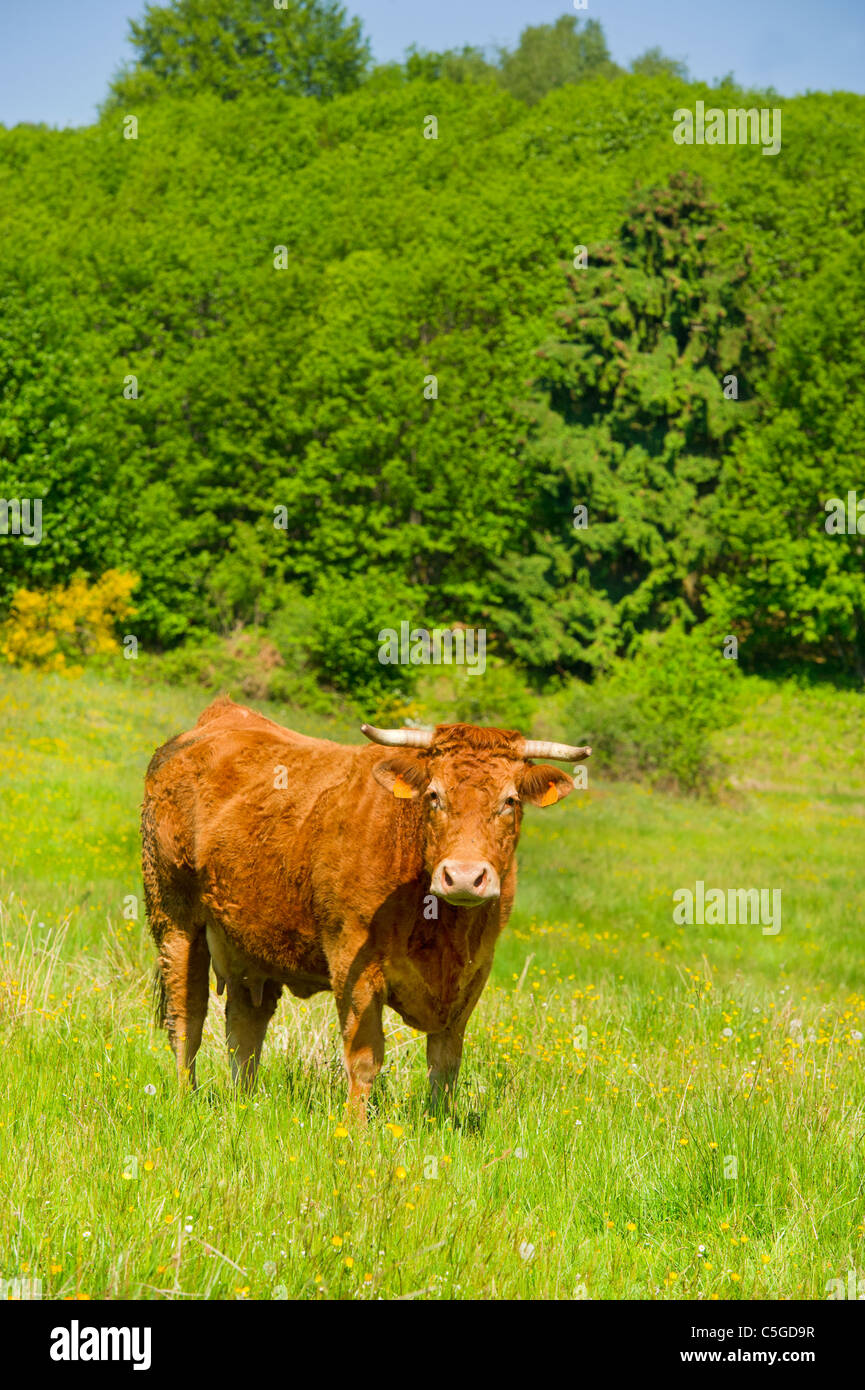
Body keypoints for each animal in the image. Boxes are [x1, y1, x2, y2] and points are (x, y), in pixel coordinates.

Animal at [141, 698, 591, 1119]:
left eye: (510, 801)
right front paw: (355, 1131)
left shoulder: (472, 975)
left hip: (250, 945)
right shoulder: (353, 964)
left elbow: (445, 1063)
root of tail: (220, 716)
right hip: (174, 920)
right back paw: (185, 1099)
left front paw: (439, 1124)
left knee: (245, 1030)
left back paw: (245, 1103)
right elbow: (364, 1060)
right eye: (434, 796)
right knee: (186, 1020)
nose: (464, 876)